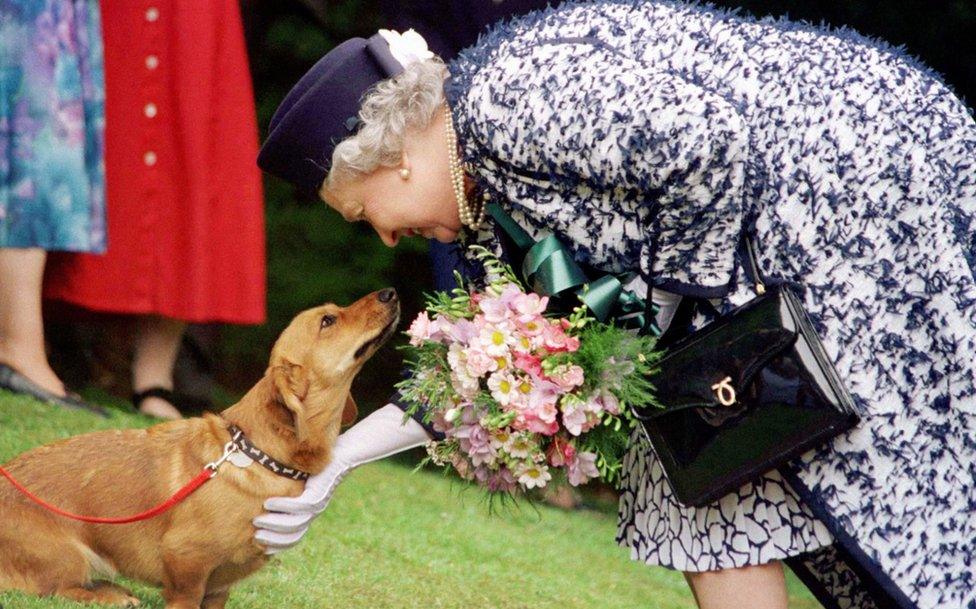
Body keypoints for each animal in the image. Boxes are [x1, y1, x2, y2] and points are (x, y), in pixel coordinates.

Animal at [0, 288, 400, 604]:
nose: (390, 292)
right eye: (328, 320)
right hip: (70, 555)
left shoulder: (219, 588)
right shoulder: (186, 564)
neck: (258, 454)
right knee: (59, 588)